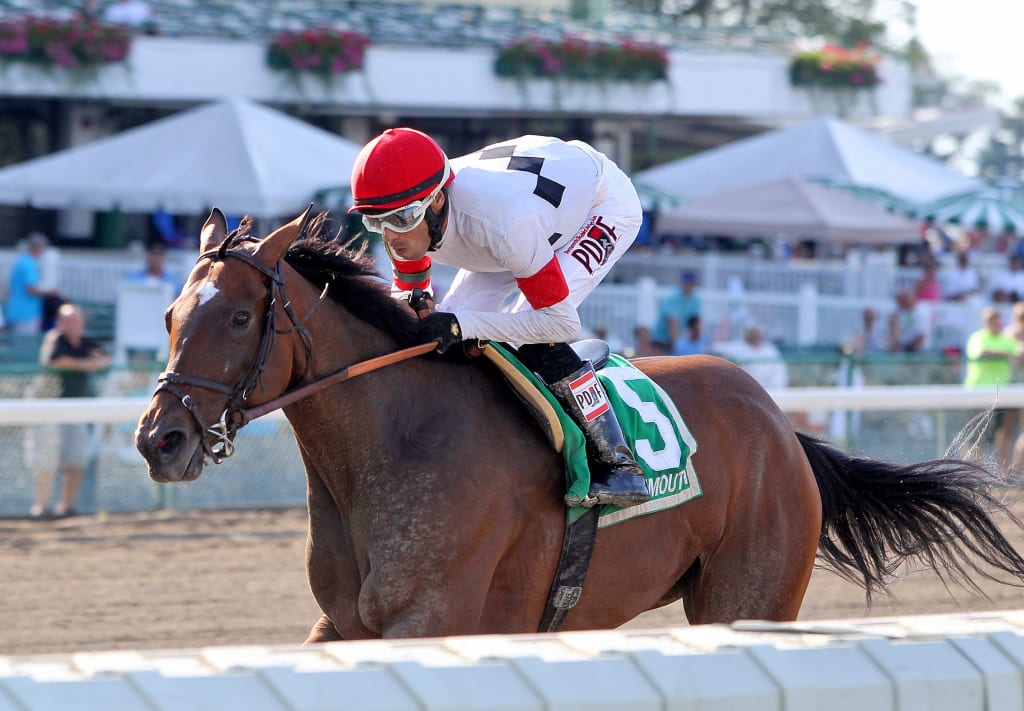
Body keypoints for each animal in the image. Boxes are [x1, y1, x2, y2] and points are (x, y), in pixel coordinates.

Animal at [138, 204, 1024, 639]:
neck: (391, 444)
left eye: (241, 317)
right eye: (172, 314)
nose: (159, 438)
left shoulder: (429, 618)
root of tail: (779, 423)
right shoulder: (344, 624)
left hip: (752, 596)